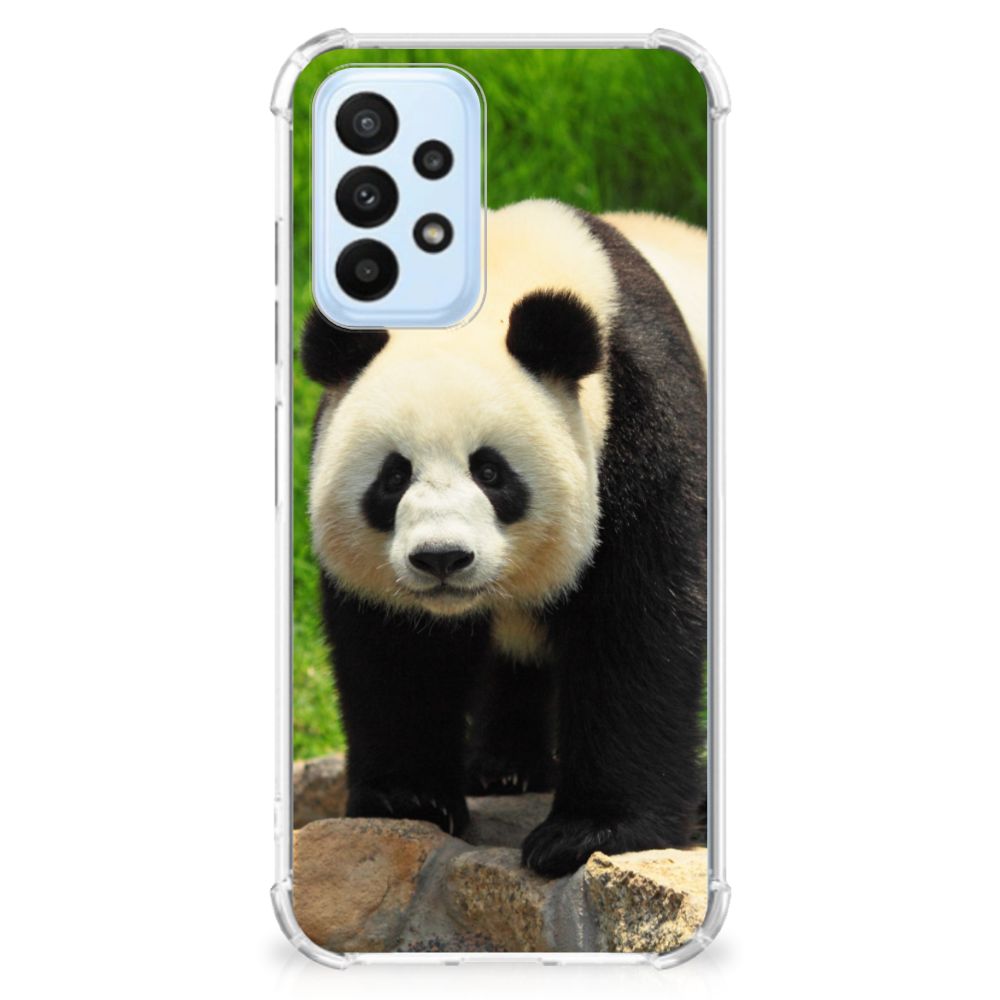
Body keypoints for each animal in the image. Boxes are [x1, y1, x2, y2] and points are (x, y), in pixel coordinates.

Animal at [302, 199, 707, 877]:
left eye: (490, 472)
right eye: (393, 476)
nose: (442, 558)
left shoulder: (643, 423)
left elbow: (639, 625)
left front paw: (589, 832)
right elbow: (396, 650)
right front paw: (408, 799)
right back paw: (504, 769)